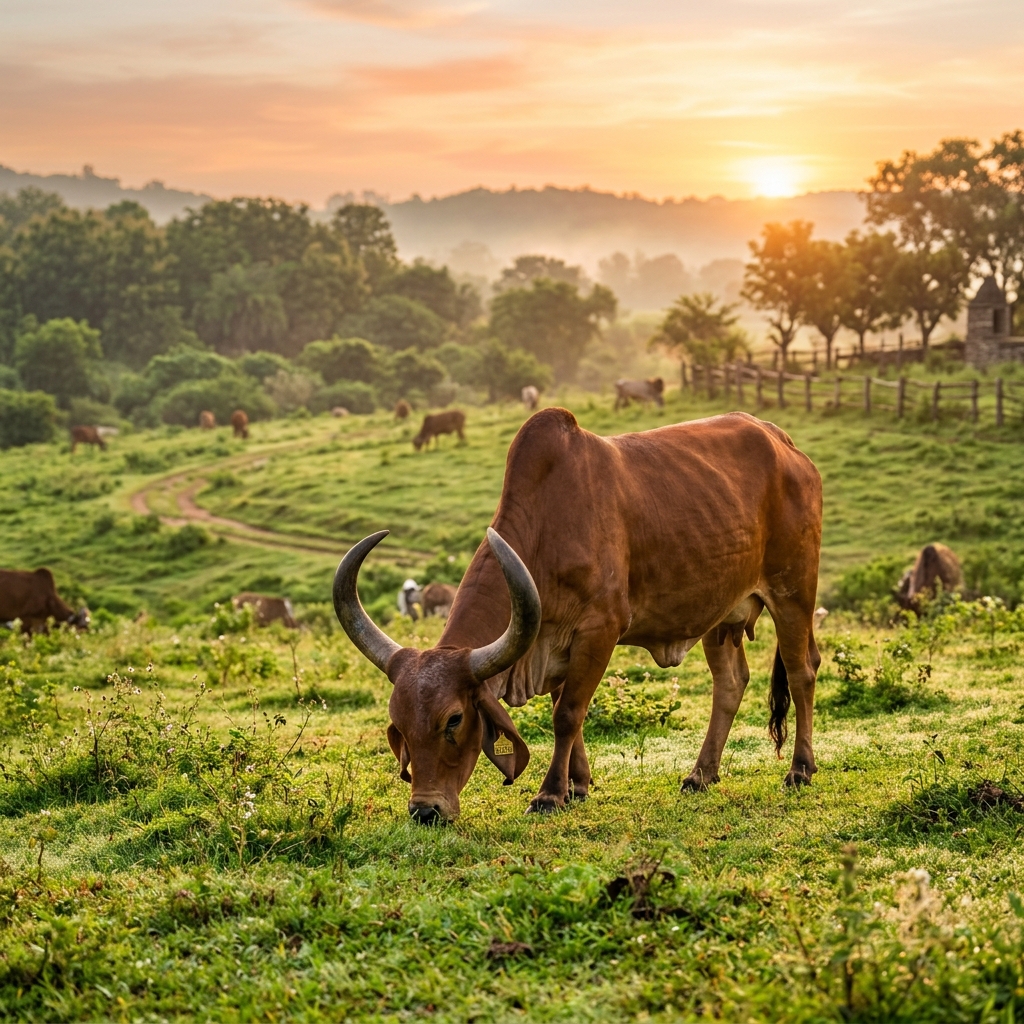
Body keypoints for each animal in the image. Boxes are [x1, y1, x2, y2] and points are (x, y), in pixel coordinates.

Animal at [333, 408, 823, 824]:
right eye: (398, 723)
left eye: (453, 719)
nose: (425, 810)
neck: (547, 528)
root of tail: (785, 445)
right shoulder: (548, 642)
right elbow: (566, 708)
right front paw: (579, 785)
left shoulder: (599, 631)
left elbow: (568, 713)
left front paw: (550, 794)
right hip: (720, 617)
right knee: (731, 682)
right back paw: (701, 774)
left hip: (793, 592)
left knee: (802, 670)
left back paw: (800, 768)